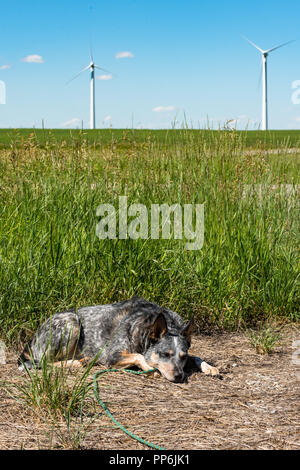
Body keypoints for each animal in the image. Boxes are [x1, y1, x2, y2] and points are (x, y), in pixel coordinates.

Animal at [18, 298, 219, 382]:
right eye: (164, 354)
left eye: (182, 357)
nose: (179, 376)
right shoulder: (112, 355)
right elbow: (139, 356)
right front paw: (150, 368)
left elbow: (196, 356)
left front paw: (209, 367)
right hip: (71, 322)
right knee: (43, 363)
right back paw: (79, 362)